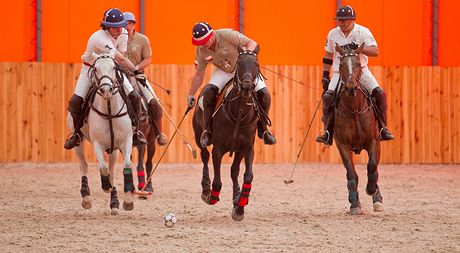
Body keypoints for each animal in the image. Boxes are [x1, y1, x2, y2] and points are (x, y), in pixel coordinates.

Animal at [191, 48, 260, 220]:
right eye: (239, 63)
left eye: (256, 64)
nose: (247, 87)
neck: (240, 112)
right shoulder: (218, 149)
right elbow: (217, 181)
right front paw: (212, 196)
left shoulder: (247, 148)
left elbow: (248, 176)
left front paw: (240, 207)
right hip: (198, 136)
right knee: (204, 156)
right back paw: (206, 189)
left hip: (238, 151)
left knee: (234, 171)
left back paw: (237, 199)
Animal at [334, 42, 384, 214]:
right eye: (341, 65)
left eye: (358, 63)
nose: (350, 87)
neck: (354, 109)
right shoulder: (342, 144)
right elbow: (351, 173)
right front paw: (354, 203)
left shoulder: (374, 141)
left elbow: (372, 166)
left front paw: (372, 190)